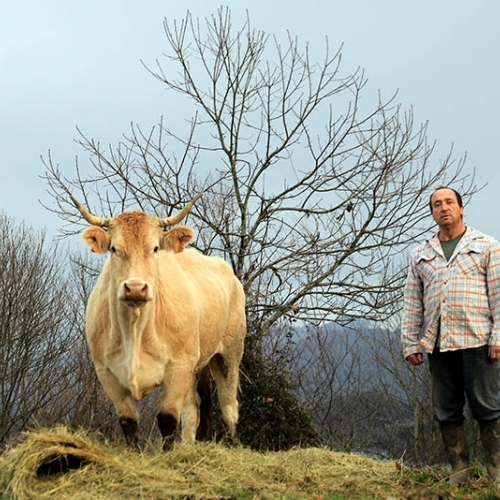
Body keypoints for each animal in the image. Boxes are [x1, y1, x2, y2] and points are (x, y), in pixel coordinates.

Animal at [71, 195, 247, 450]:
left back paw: (234, 444)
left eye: (155, 248)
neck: (136, 330)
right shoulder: (107, 372)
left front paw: (167, 454)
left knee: (229, 405)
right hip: (197, 366)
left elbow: (167, 419)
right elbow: (129, 422)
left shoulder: (178, 367)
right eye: (114, 248)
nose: (135, 288)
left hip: (230, 352)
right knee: (193, 409)